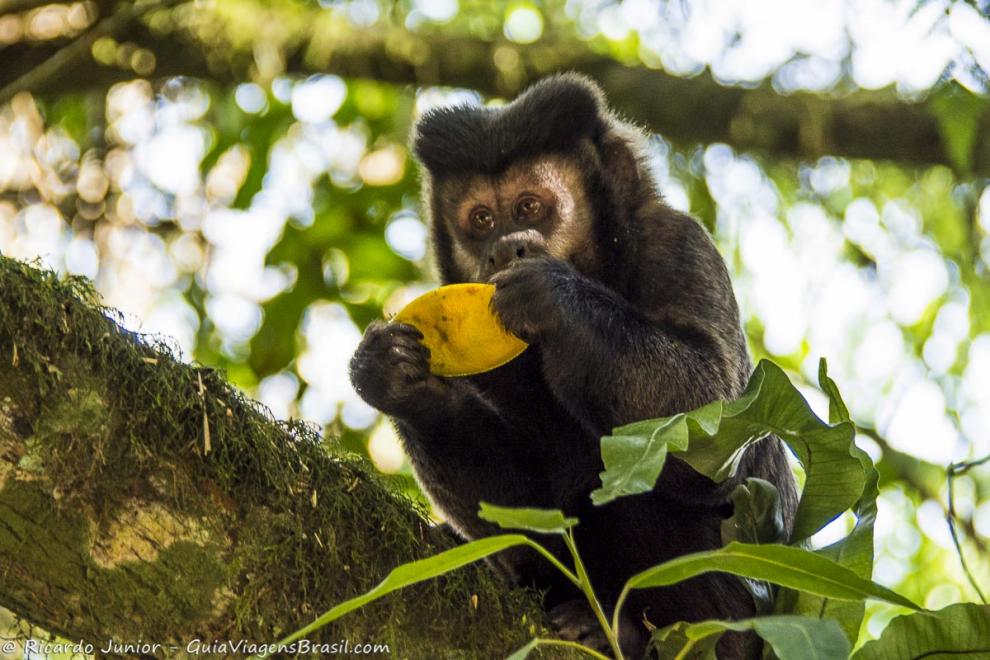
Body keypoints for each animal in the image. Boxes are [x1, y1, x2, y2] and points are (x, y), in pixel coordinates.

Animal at [348, 75, 800, 656]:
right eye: (481, 220)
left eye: (529, 207)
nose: (504, 248)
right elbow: (524, 508)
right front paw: (398, 379)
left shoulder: (679, 243)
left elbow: (716, 431)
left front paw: (553, 297)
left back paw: (619, 629)